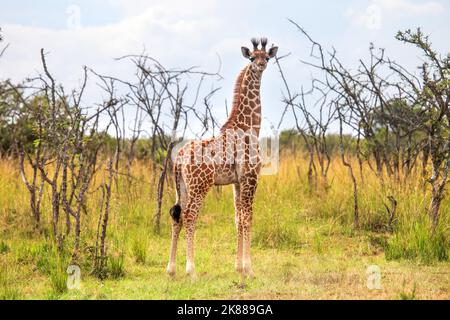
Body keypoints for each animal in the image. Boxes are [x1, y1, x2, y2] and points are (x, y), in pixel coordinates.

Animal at [166, 37, 278, 278]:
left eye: (267, 56)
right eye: (252, 57)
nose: (261, 65)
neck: (249, 127)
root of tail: (179, 158)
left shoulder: (237, 182)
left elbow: (238, 219)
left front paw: (238, 267)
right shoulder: (251, 178)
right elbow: (248, 218)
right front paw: (249, 269)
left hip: (182, 187)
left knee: (176, 215)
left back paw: (171, 269)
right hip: (200, 186)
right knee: (190, 216)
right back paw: (191, 270)